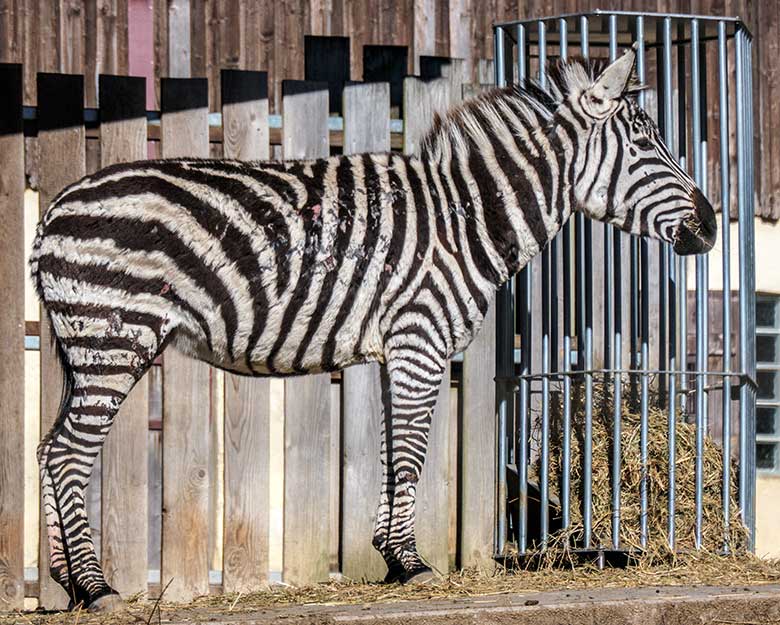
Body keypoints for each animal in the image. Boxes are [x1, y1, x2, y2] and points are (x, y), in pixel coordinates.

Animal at [30, 47, 712, 608]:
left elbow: (390, 454)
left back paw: (67, 586)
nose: (709, 226)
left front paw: (390, 559)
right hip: (114, 337)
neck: (465, 219)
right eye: (645, 144)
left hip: (82, 347)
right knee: (68, 452)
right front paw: (412, 565)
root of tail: (54, 209)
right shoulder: (421, 339)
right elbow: (410, 455)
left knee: (46, 448)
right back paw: (95, 588)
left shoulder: (399, 350)